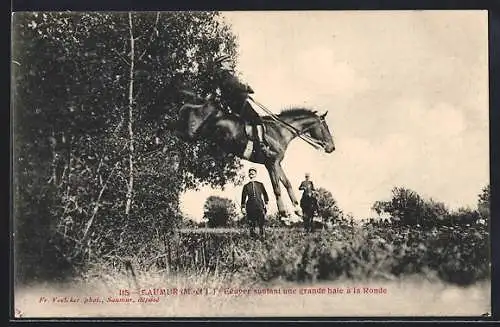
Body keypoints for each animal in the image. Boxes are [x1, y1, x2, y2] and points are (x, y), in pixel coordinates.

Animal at [178, 96, 334, 217]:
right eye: (325, 127)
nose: (332, 148)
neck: (280, 131)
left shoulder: (275, 163)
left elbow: (286, 183)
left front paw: (297, 210)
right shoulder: (271, 163)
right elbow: (277, 188)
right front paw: (284, 215)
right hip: (196, 132)